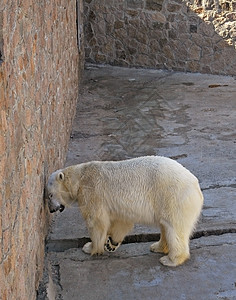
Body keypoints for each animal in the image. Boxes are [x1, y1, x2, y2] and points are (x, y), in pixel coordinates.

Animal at [47, 156, 204, 266]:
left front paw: (90, 247)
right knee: (165, 226)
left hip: (172, 198)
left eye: (49, 195)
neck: (80, 176)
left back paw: (170, 260)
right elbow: (121, 221)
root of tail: (196, 186)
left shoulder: (92, 192)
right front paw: (111, 243)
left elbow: (96, 221)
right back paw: (157, 246)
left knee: (174, 228)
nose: (51, 209)